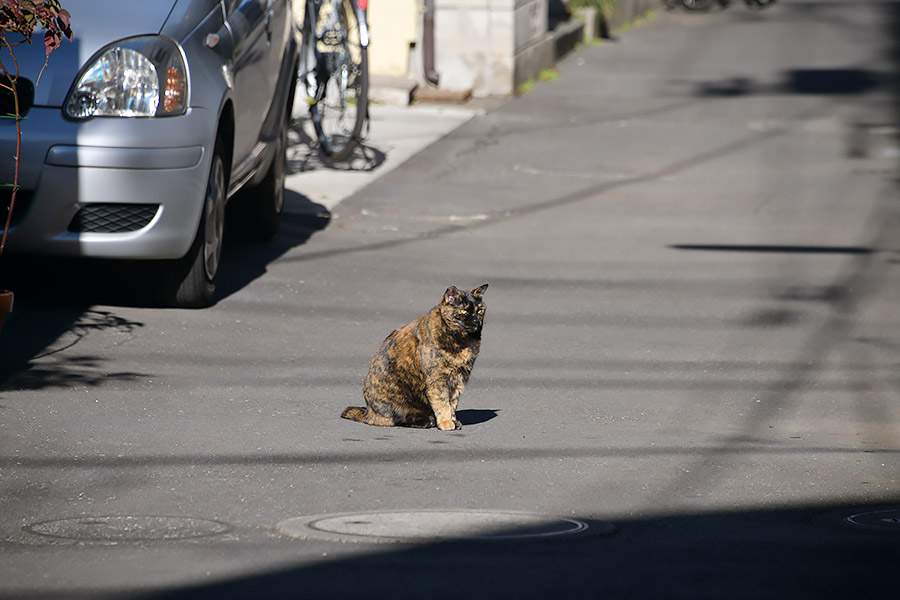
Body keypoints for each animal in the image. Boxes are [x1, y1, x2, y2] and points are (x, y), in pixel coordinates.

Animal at [342, 284, 488, 428]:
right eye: (464, 311)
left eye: (480, 310)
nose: (476, 321)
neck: (464, 341)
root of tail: (368, 412)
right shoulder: (437, 378)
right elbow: (442, 402)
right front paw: (446, 422)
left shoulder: (459, 378)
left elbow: (452, 403)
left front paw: (453, 420)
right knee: (397, 419)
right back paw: (427, 421)